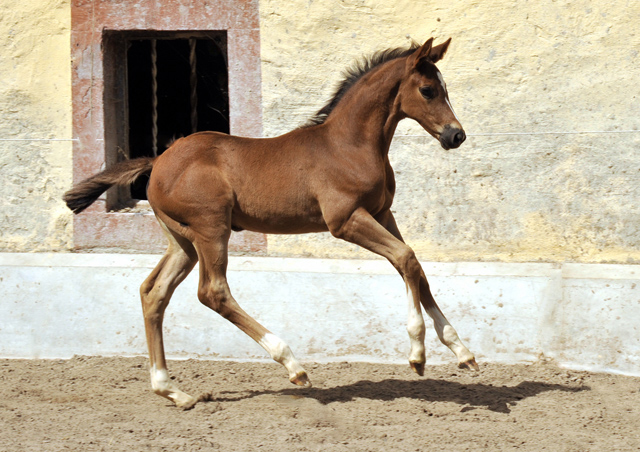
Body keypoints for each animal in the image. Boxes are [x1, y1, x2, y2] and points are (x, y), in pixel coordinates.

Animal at [66, 37, 476, 408]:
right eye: (427, 90)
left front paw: (461, 351)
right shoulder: (346, 220)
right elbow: (406, 259)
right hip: (211, 229)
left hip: (183, 242)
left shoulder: (382, 214)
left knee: (154, 292)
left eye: (445, 88)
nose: (456, 135)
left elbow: (416, 267)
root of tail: (157, 161)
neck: (349, 145)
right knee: (212, 292)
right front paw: (418, 353)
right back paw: (292, 365)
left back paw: (172, 391)